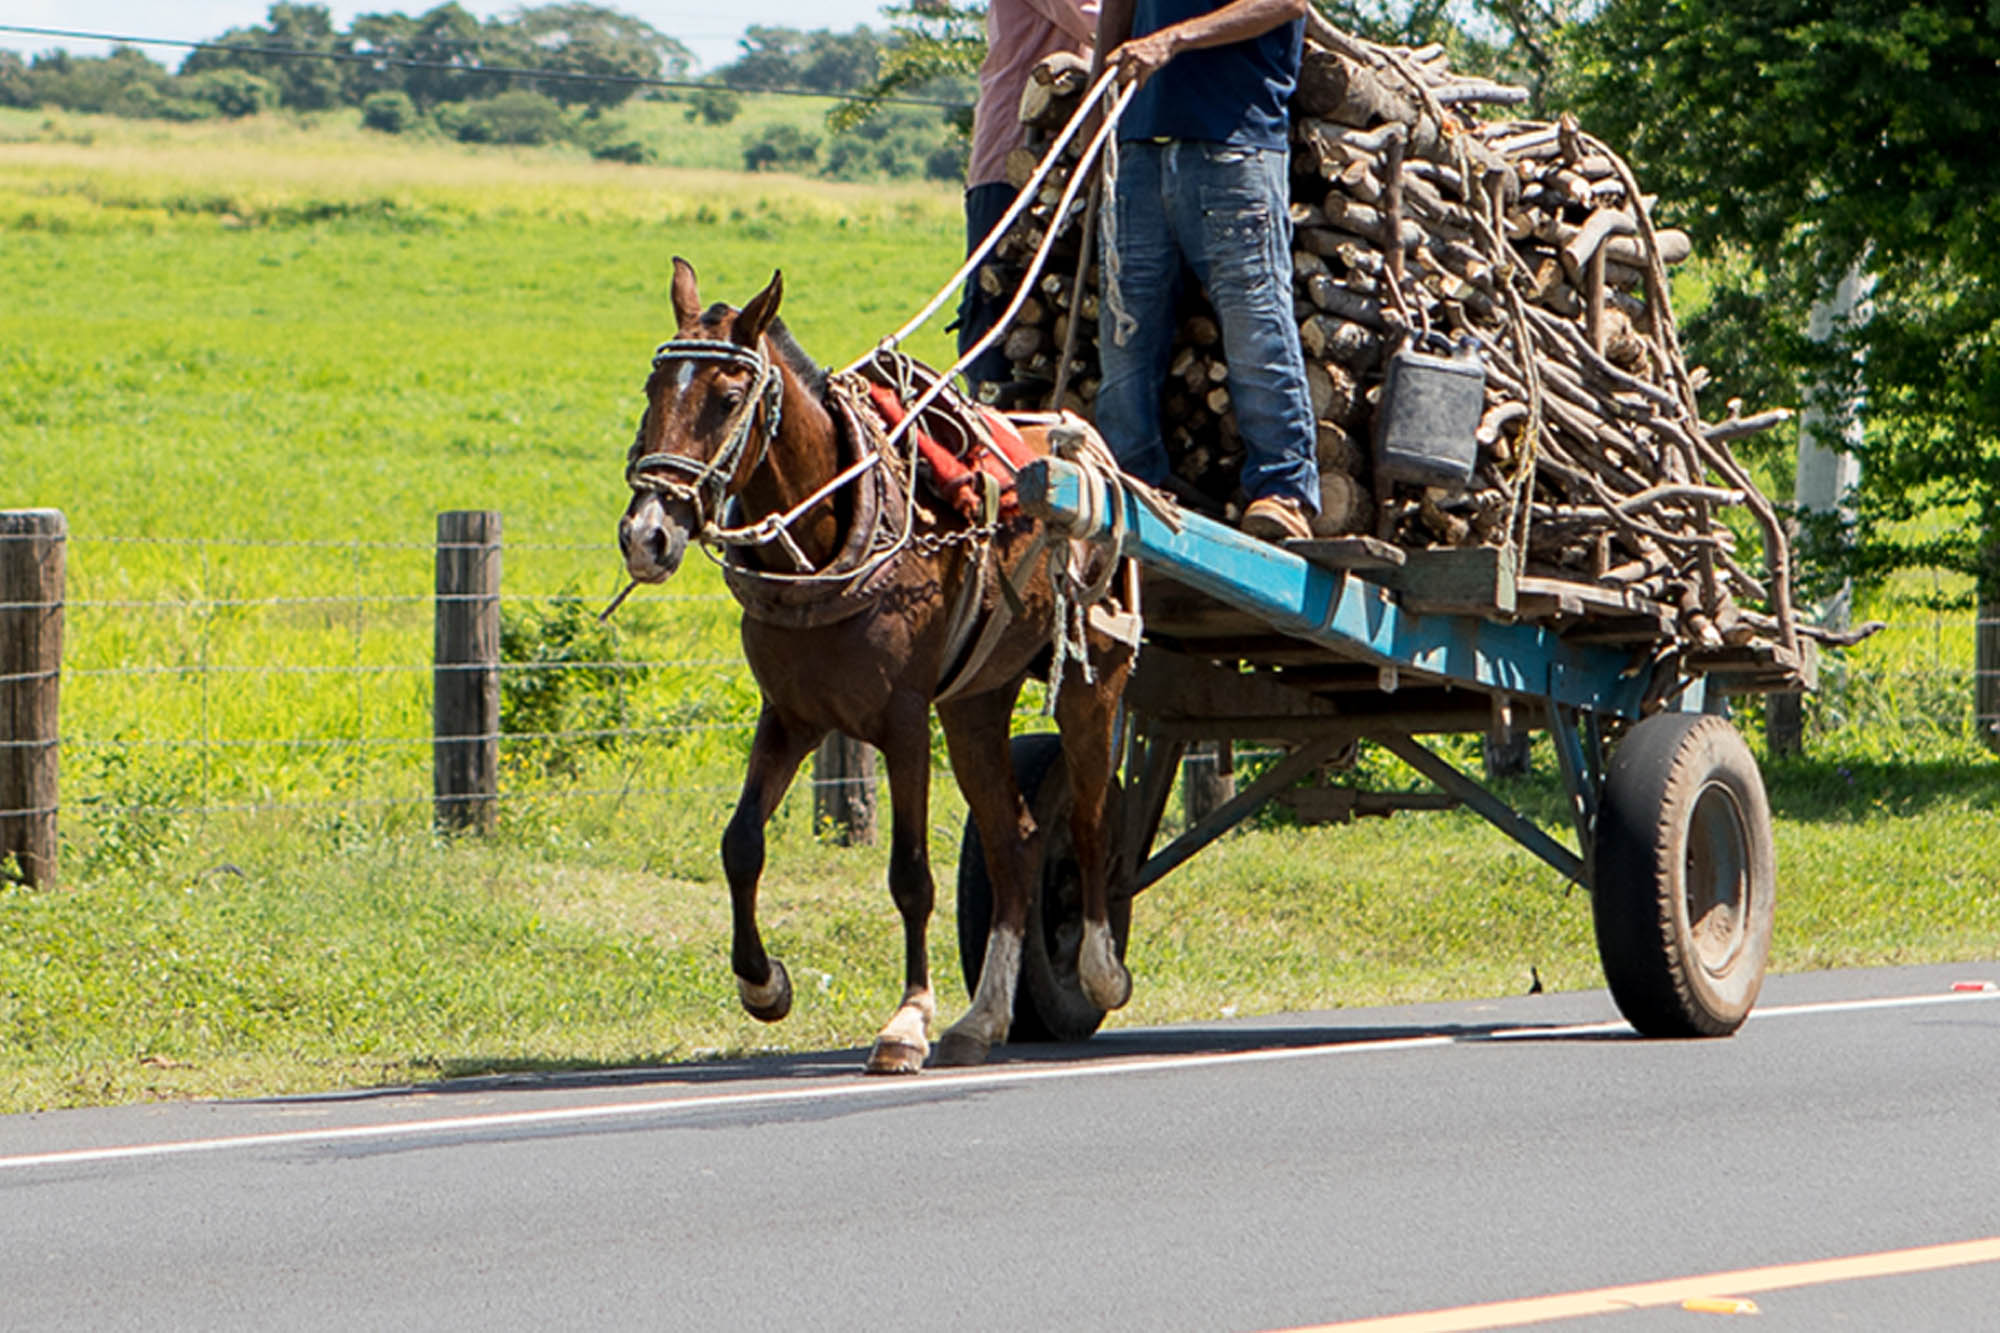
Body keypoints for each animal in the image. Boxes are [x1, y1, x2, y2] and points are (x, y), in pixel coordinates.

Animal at [612, 260, 1144, 1072]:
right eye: (653, 391)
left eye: (729, 400)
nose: (647, 535)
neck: (831, 535)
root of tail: (1088, 452)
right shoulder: (791, 715)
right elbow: (741, 844)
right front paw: (763, 983)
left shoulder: (903, 724)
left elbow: (910, 875)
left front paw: (907, 1021)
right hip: (974, 704)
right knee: (1015, 841)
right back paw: (985, 1017)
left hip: (1093, 679)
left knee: (1085, 820)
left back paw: (1098, 969)